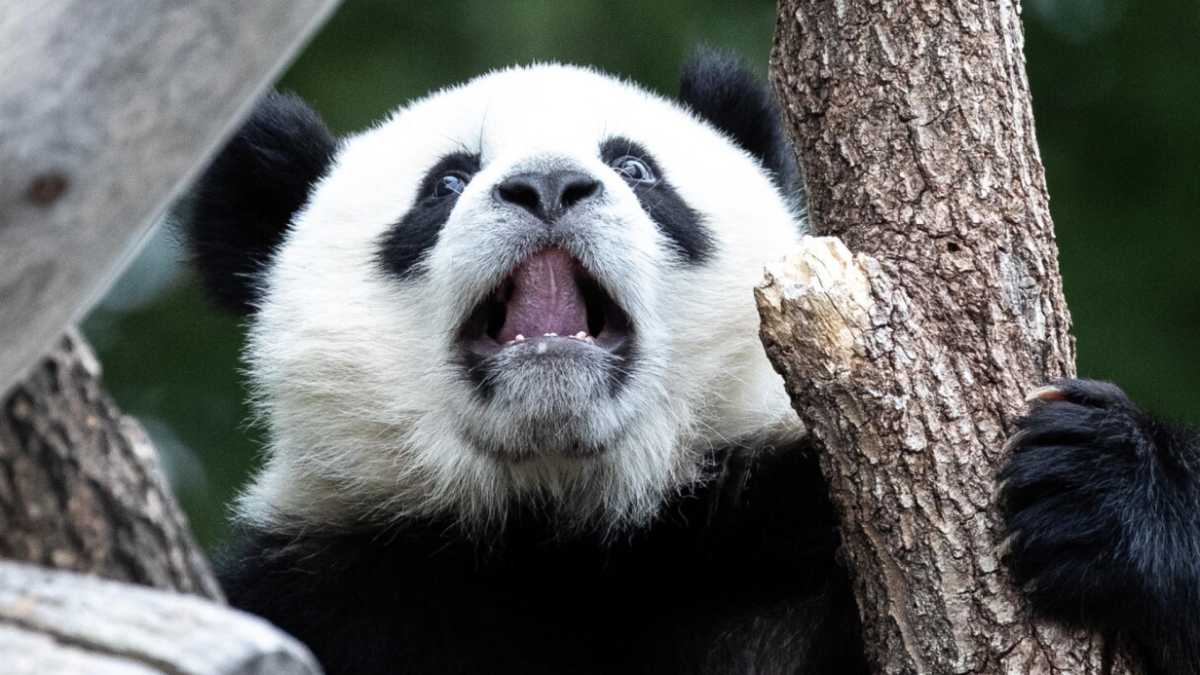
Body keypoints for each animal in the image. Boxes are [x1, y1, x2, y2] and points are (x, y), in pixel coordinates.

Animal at [184, 50, 1197, 674]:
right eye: (445, 182)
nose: (547, 184)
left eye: (635, 169)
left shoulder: (775, 537)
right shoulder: (335, 584)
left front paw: (1095, 487)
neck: (568, 521)